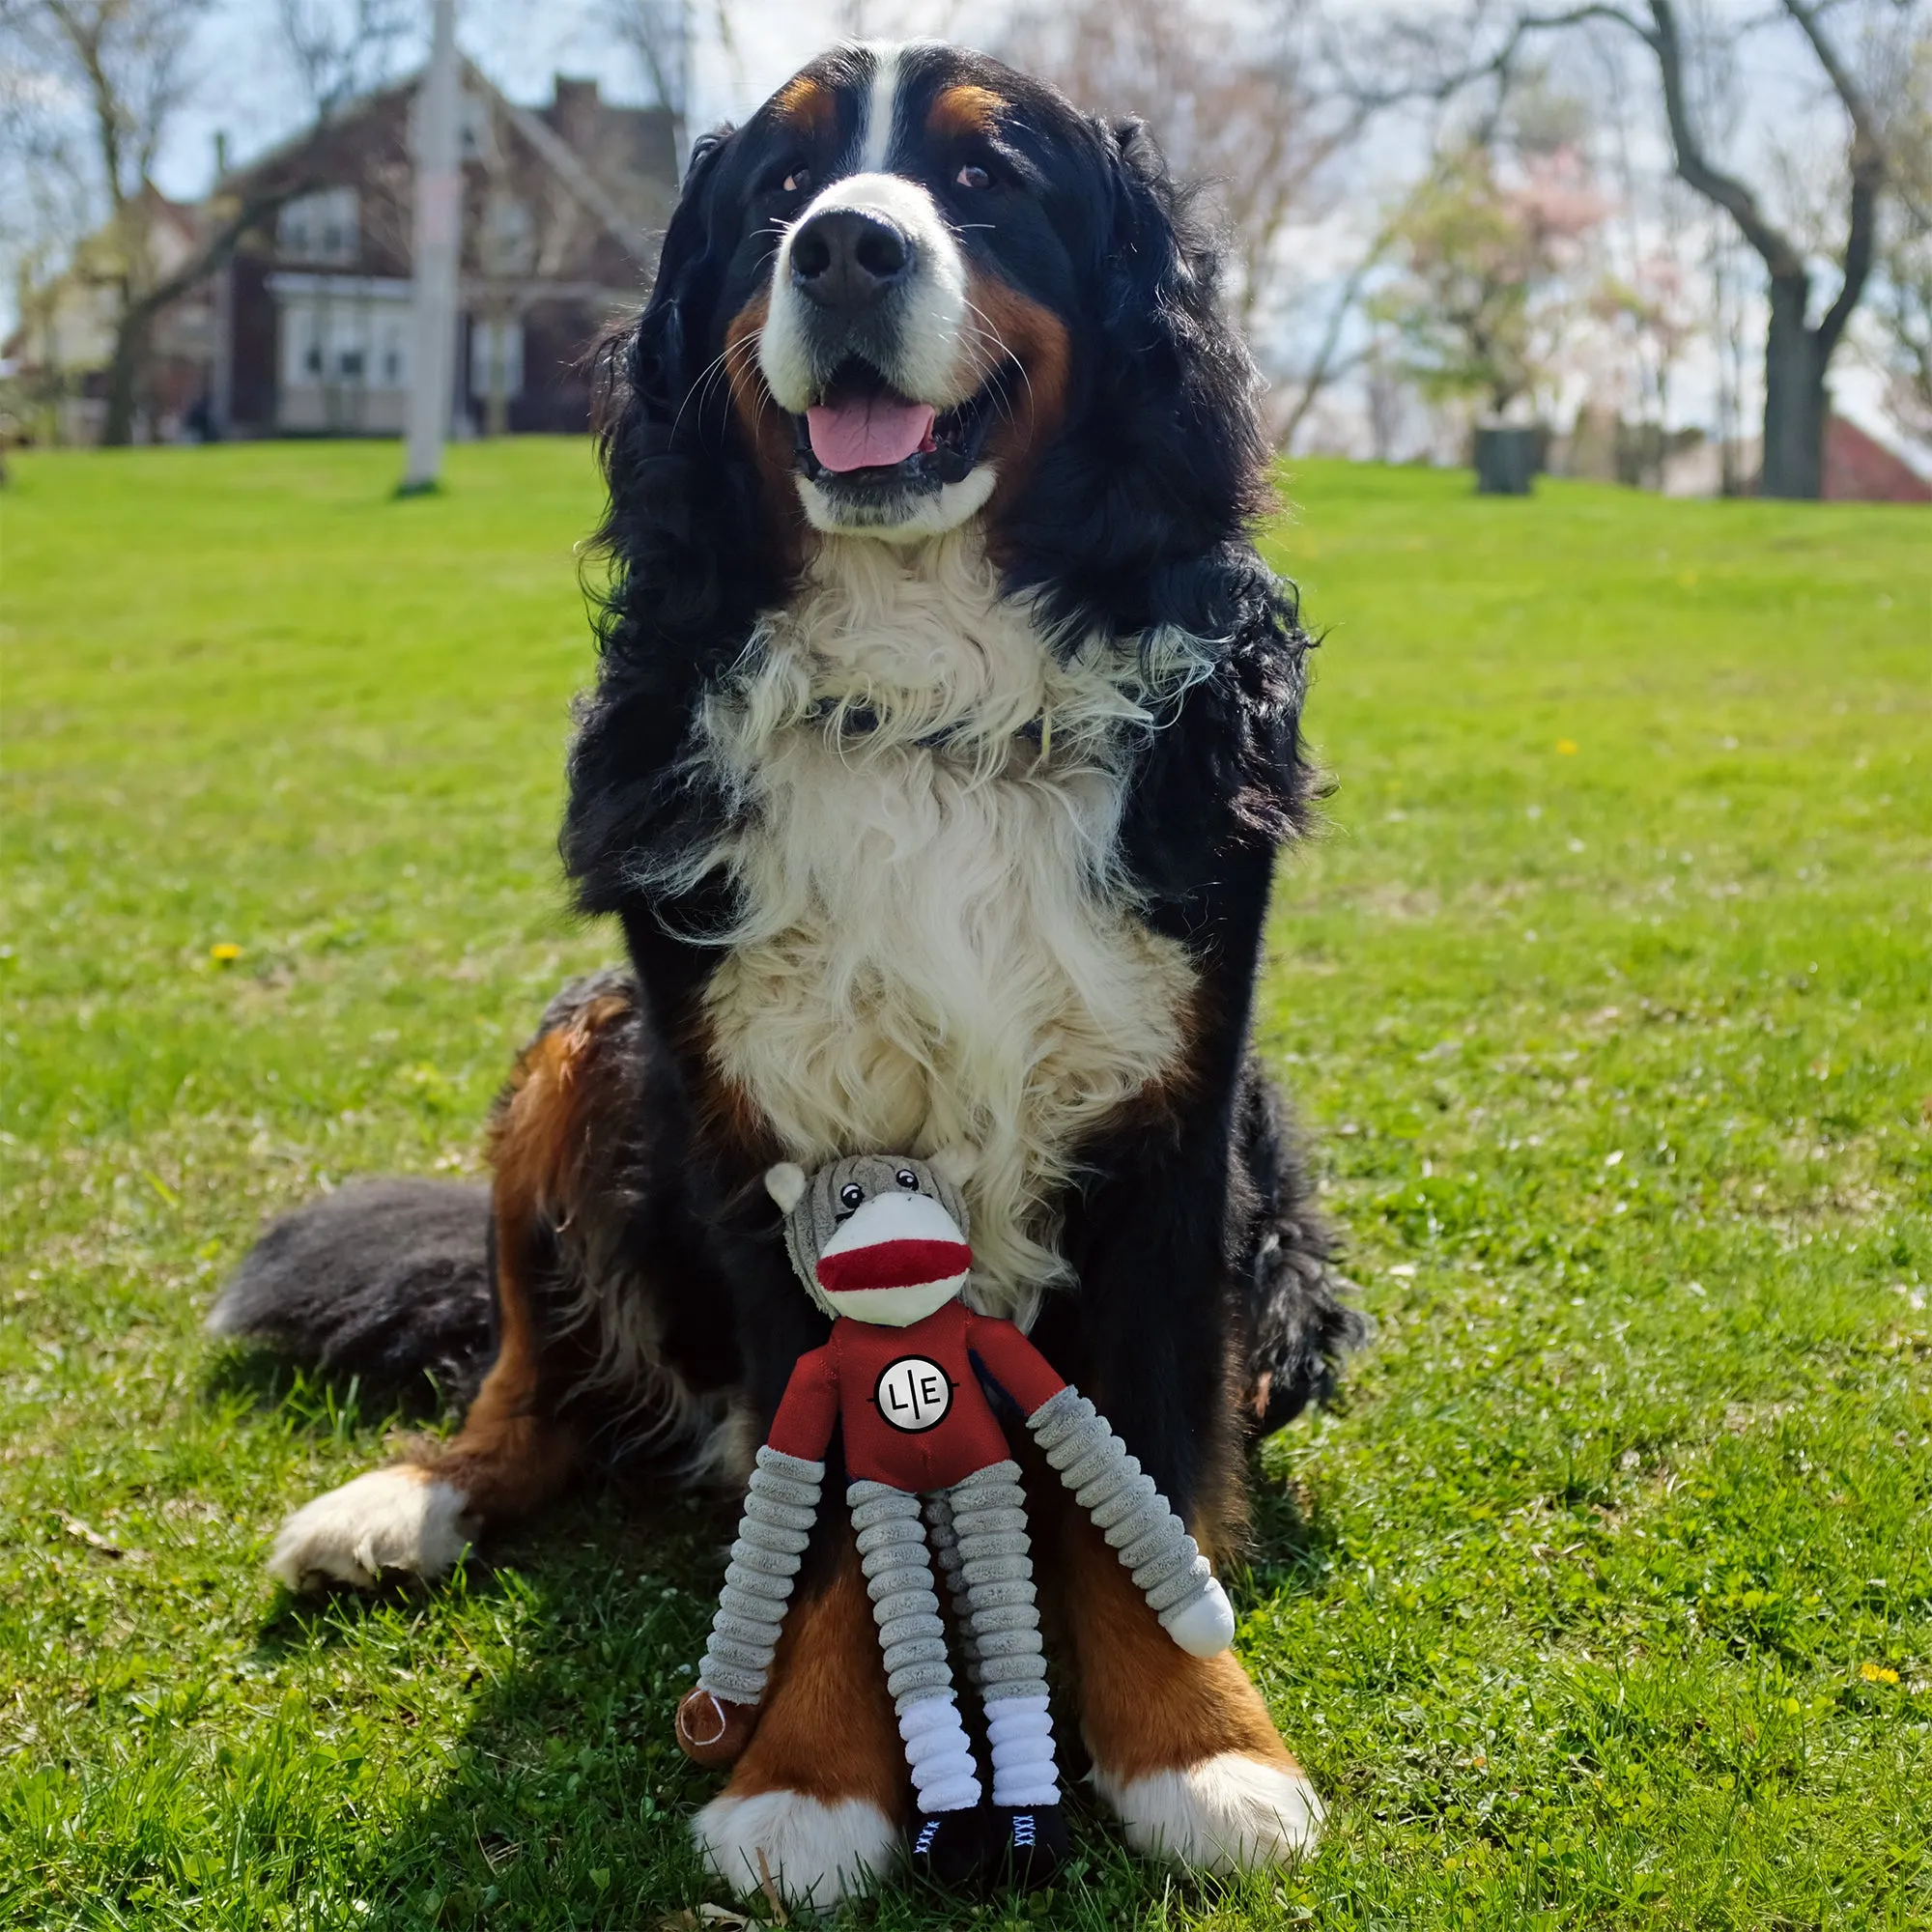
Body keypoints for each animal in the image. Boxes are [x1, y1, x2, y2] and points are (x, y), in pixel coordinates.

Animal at [212, 38, 1360, 1909]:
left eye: (982, 182)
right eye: (778, 191)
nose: (843, 249)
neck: (929, 700)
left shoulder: (1177, 1122)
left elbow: (1147, 1461)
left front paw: (1202, 1751)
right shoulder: (758, 1140)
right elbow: (813, 1487)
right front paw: (810, 1778)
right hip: (587, 1047)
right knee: (533, 1386)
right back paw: (402, 1504)